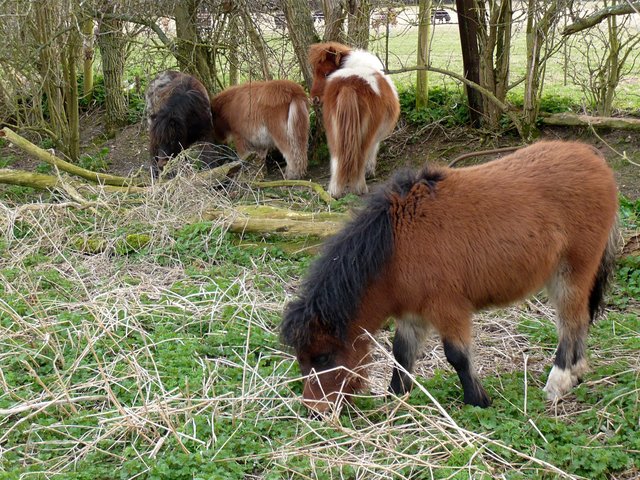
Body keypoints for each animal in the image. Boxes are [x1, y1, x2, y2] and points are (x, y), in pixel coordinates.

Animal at [282, 141, 620, 414]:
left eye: (323, 357)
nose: (315, 412)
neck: (397, 244)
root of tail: (593, 158)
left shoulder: (447, 309)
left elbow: (456, 356)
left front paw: (477, 400)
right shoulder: (411, 313)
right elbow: (401, 354)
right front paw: (396, 398)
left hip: (573, 273)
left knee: (572, 322)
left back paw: (558, 380)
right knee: (576, 322)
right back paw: (576, 373)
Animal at [306, 41, 400, 197]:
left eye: (326, 73)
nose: (314, 99)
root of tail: (348, 86)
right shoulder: (376, 138)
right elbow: (373, 152)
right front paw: (370, 171)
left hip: (334, 134)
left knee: (337, 158)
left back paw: (334, 191)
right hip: (366, 135)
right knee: (360, 157)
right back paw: (359, 188)